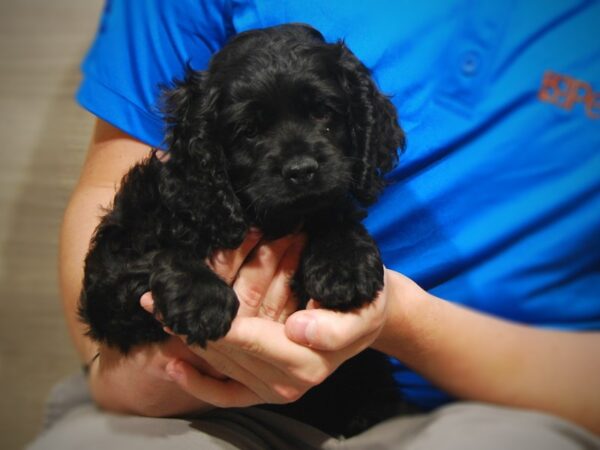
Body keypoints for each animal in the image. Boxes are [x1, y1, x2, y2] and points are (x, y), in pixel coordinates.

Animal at [79, 23, 406, 436]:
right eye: (248, 131)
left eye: (322, 112)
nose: (301, 171)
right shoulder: (110, 276)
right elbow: (155, 253)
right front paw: (202, 298)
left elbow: (335, 215)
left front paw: (344, 265)